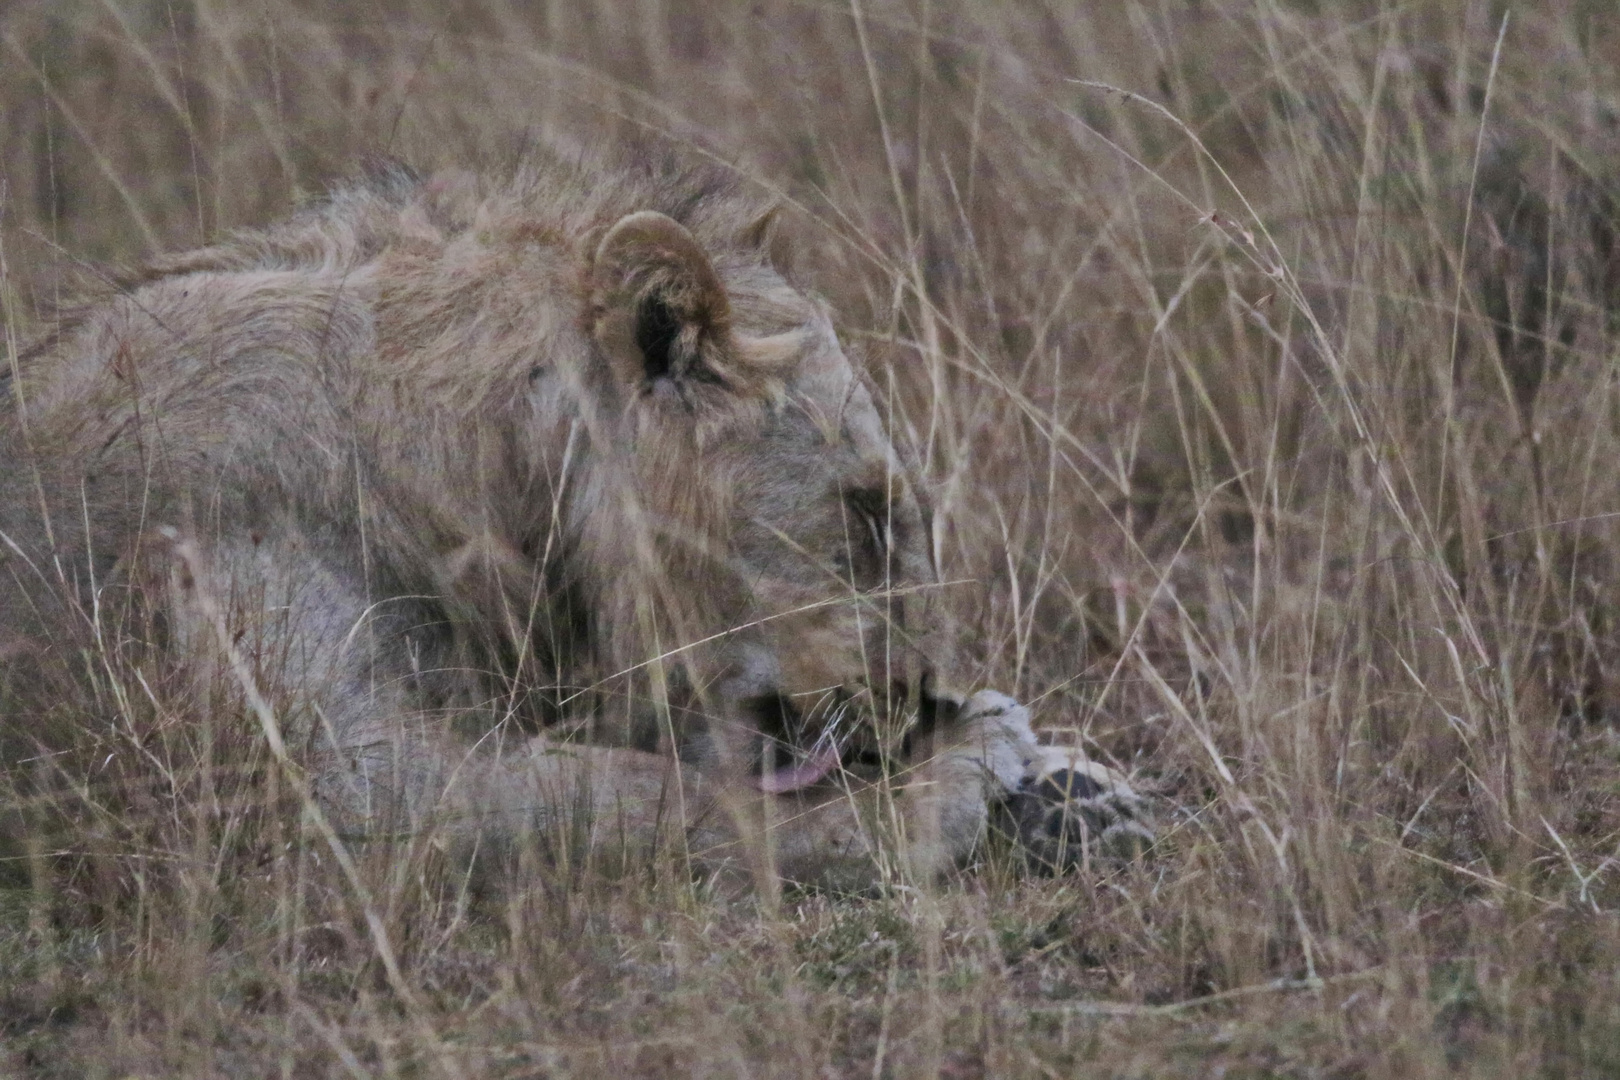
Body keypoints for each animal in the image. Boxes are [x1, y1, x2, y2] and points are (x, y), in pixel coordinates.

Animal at [0, 148, 1153, 893]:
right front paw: (963, 768)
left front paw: (1075, 788)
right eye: (865, 514)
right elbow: (659, 797)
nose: (922, 699)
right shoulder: (334, 776)